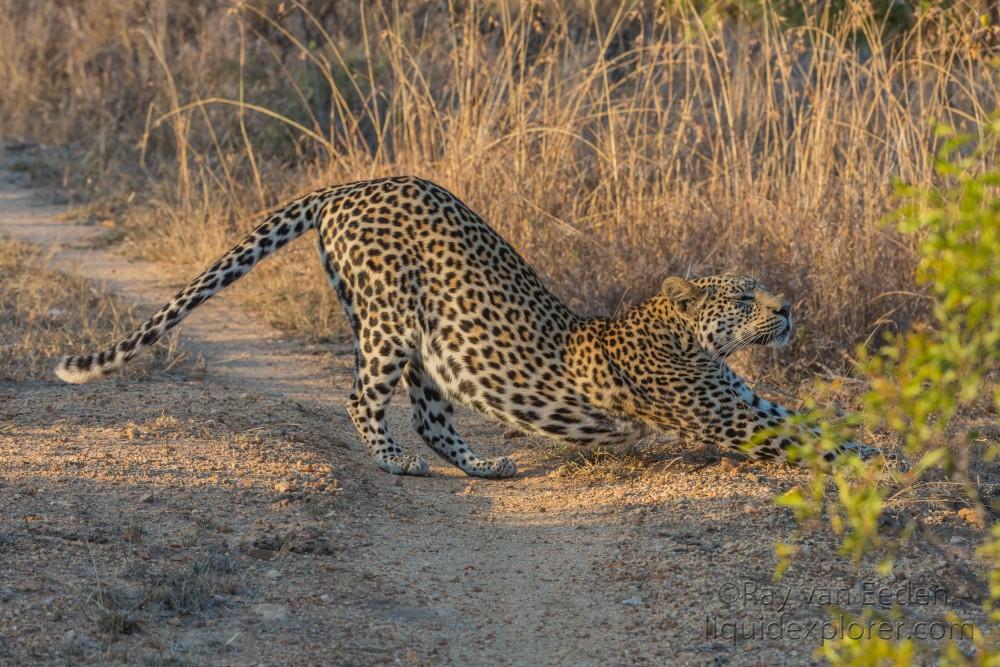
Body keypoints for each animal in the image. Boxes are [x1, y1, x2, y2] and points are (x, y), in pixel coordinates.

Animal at [56, 176, 884, 480]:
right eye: (744, 296)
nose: (787, 309)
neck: (688, 338)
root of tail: (356, 183)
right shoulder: (724, 414)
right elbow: (805, 435)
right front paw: (886, 464)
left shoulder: (743, 399)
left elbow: (813, 417)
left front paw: (883, 442)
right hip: (388, 320)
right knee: (363, 399)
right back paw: (394, 461)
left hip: (429, 341)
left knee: (430, 415)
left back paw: (483, 466)